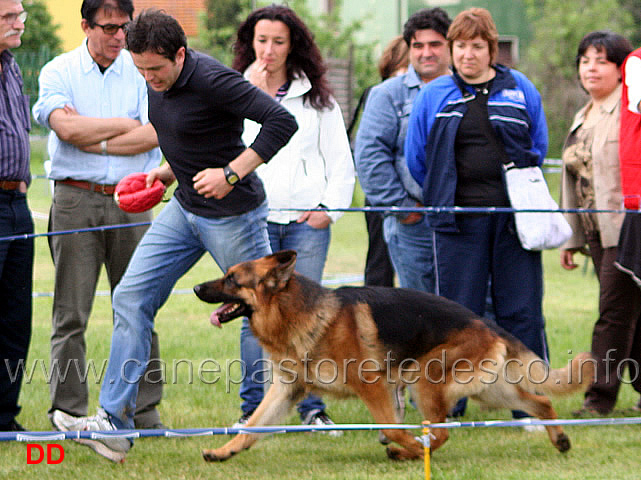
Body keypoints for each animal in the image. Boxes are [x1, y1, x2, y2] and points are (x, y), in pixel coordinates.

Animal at [192, 251, 592, 462]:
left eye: (232, 279)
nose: (195, 287)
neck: (298, 312)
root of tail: (486, 322)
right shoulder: (287, 390)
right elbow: (252, 426)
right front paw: (224, 451)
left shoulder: (372, 386)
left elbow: (391, 427)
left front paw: (409, 445)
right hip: (488, 390)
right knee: (541, 402)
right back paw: (560, 439)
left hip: (426, 382)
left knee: (441, 433)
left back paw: (412, 452)